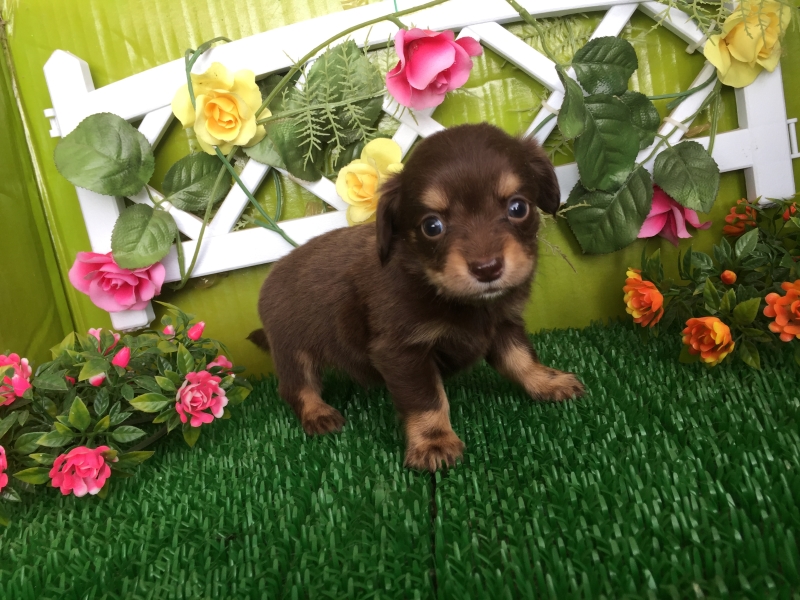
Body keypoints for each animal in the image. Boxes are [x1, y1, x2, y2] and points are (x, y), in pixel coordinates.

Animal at [249, 123, 585, 471]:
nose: (487, 268)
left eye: (518, 208)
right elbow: (427, 399)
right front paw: (433, 442)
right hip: (293, 350)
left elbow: (522, 359)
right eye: (432, 226)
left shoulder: (503, 324)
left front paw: (547, 381)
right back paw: (317, 413)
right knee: (297, 387)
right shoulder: (402, 352)